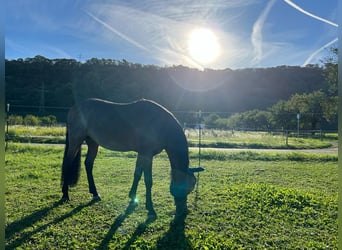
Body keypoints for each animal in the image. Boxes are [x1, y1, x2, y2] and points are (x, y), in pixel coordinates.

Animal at [60, 97, 203, 217]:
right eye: (190, 186)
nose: (183, 211)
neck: (161, 125)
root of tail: (74, 108)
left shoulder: (142, 153)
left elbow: (137, 174)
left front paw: (132, 196)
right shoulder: (147, 154)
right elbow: (148, 180)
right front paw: (150, 208)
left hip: (93, 143)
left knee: (88, 164)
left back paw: (95, 193)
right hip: (76, 140)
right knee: (67, 164)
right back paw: (65, 195)